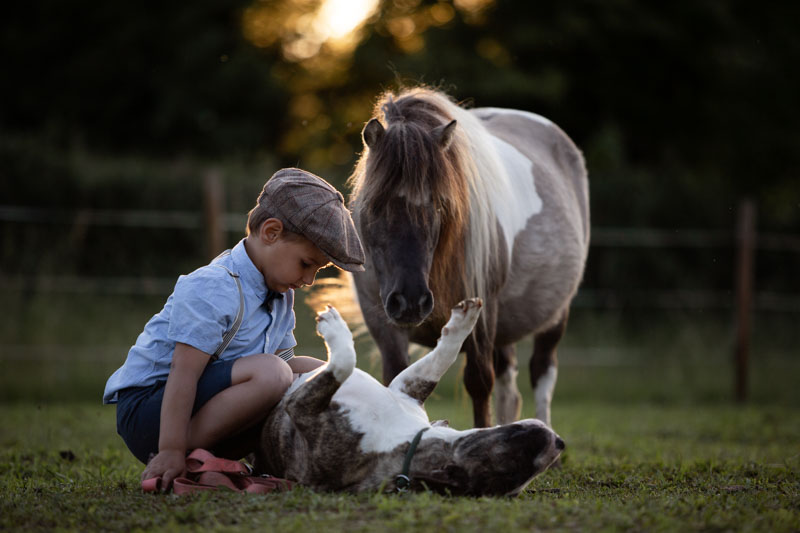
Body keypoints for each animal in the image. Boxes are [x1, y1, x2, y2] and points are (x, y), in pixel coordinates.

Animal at [255, 300, 564, 494]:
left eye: (514, 468)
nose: (559, 443)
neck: (407, 437)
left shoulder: (301, 407)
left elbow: (343, 363)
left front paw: (334, 326)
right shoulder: (405, 388)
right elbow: (443, 357)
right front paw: (464, 322)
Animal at [346, 87, 588, 428]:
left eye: (438, 205)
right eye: (375, 204)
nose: (410, 301)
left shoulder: (481, 315)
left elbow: (479, 382)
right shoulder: (381, 321)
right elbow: (395, 378)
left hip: (554, 316)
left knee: (542, 373)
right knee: (509, 388)